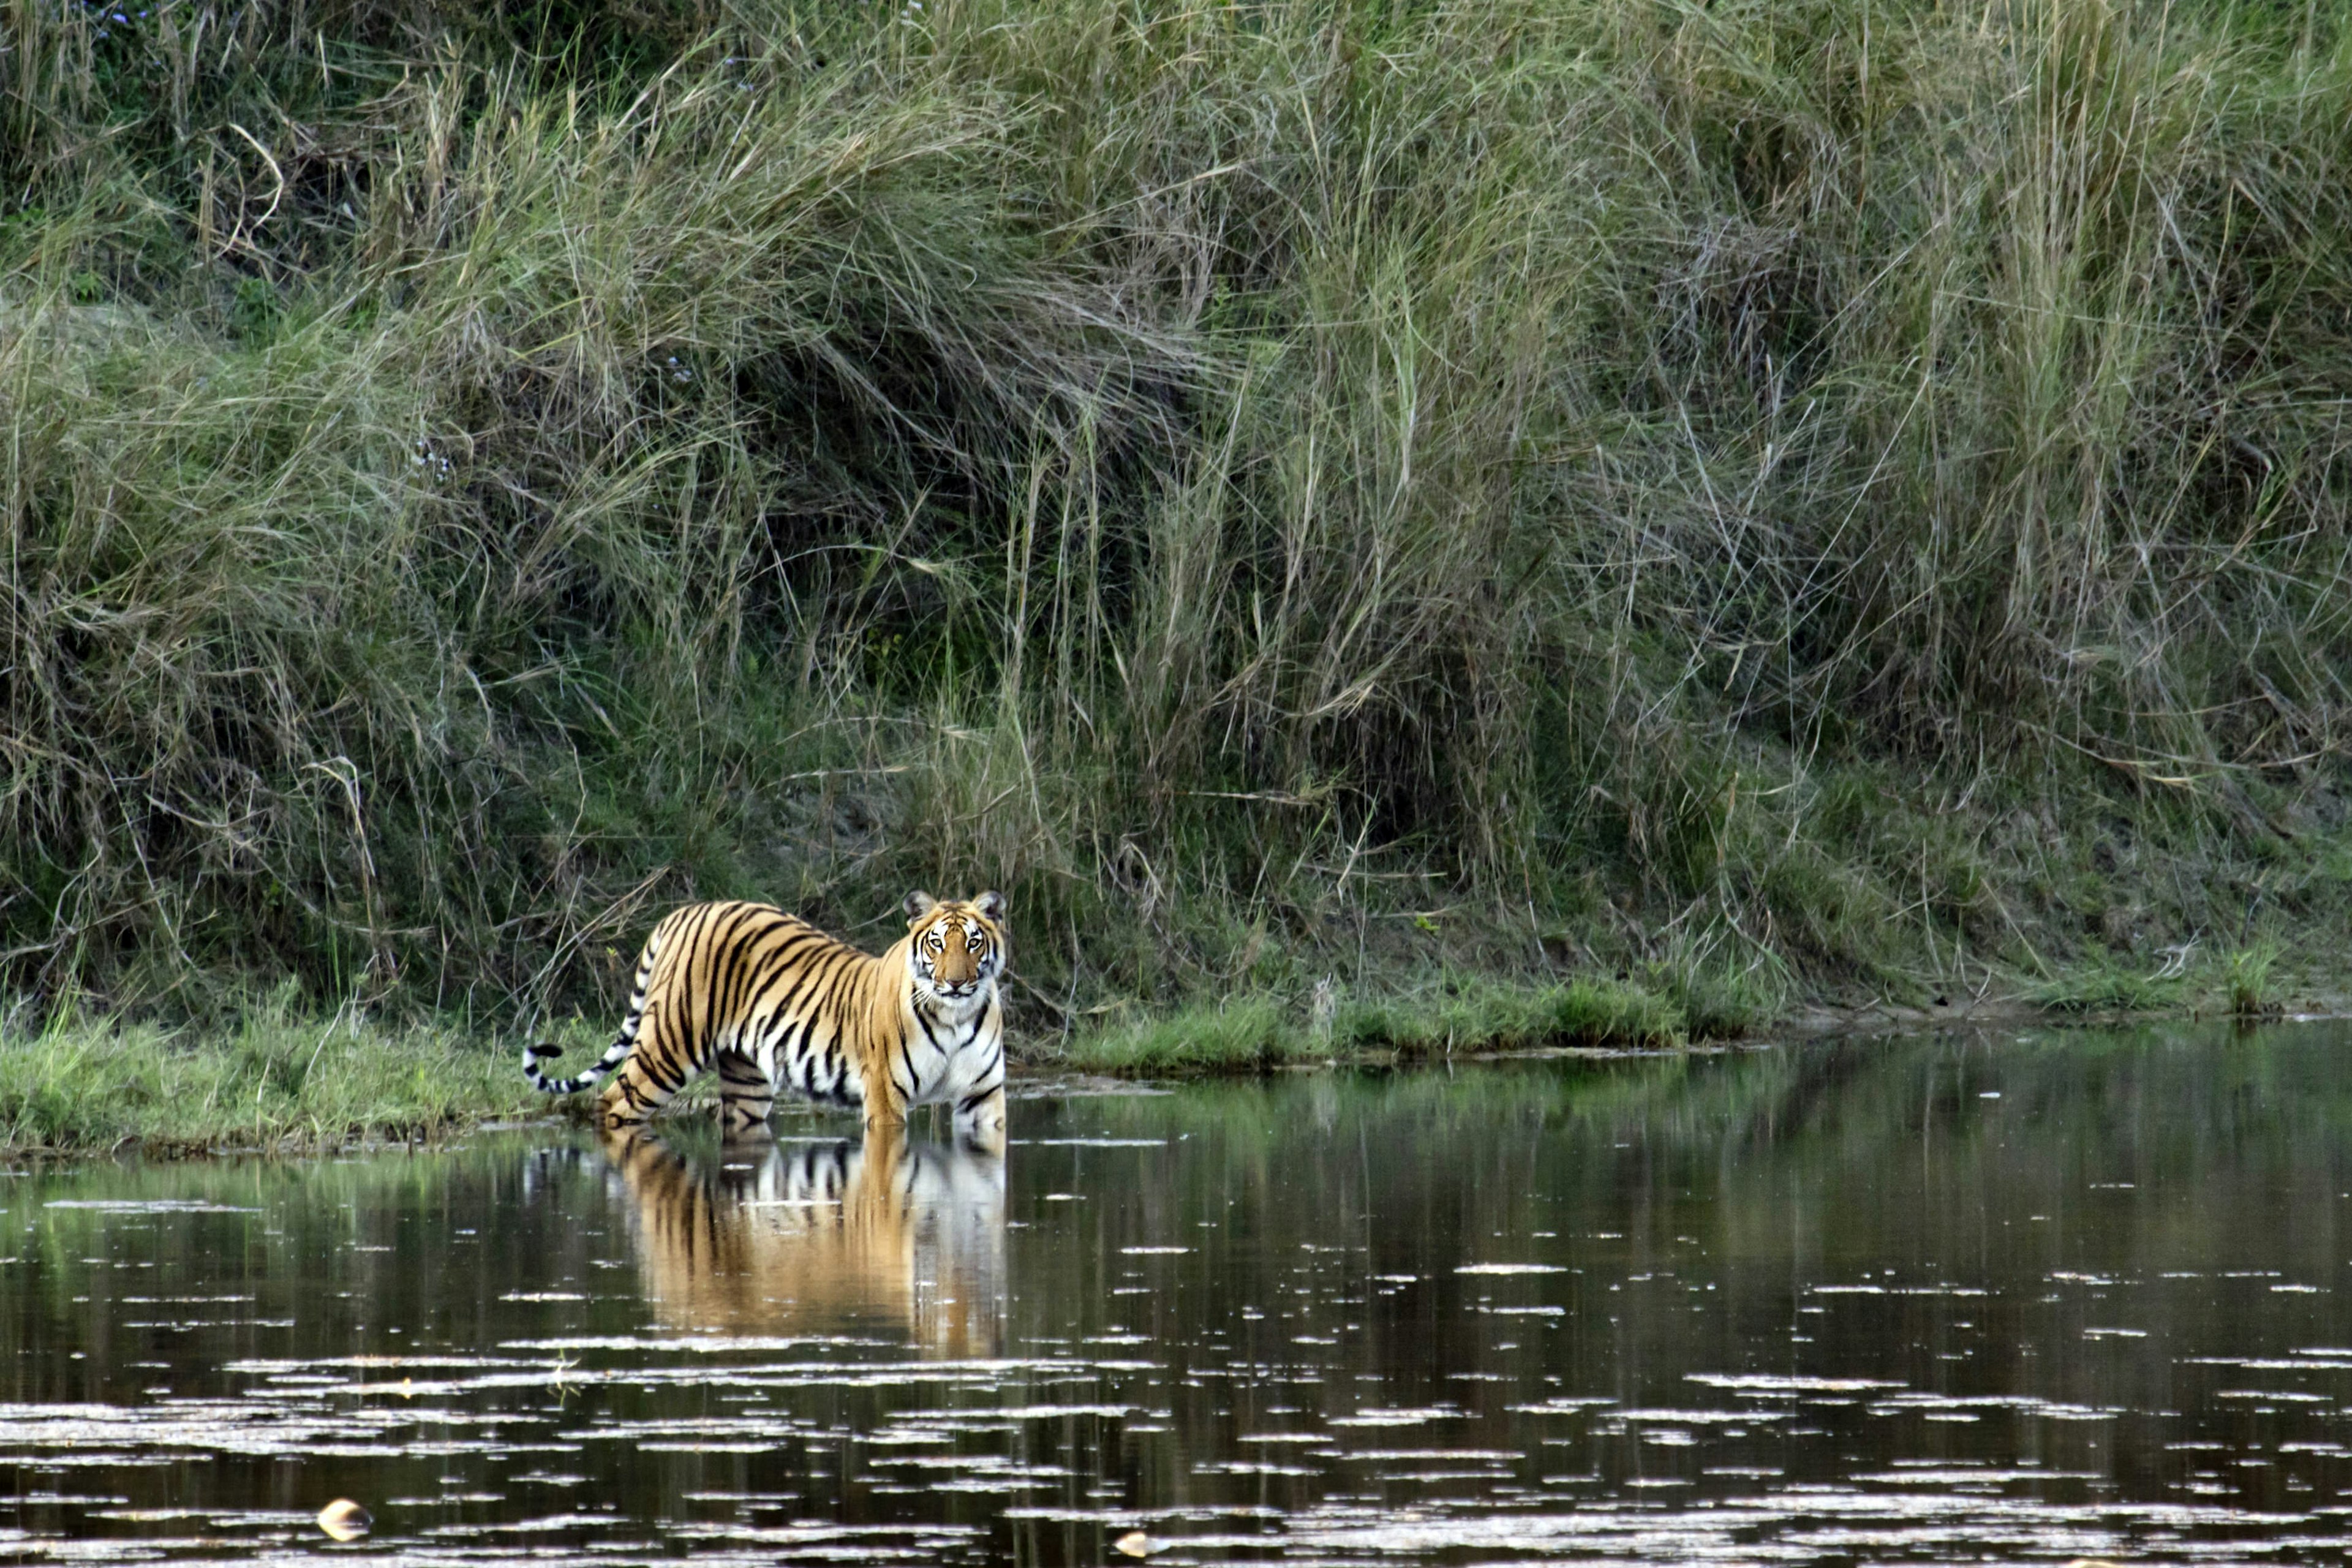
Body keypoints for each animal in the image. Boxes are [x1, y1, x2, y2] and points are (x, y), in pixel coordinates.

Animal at [519, 893, 1006, 1152]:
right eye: (937, 944)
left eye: (974, 943)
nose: (956, 982)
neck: (956, 1016)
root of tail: (681, 913)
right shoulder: (886, 1097)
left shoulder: (983, 1097)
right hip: (668, 1048)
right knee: (611, 1102)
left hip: (746, 1082)